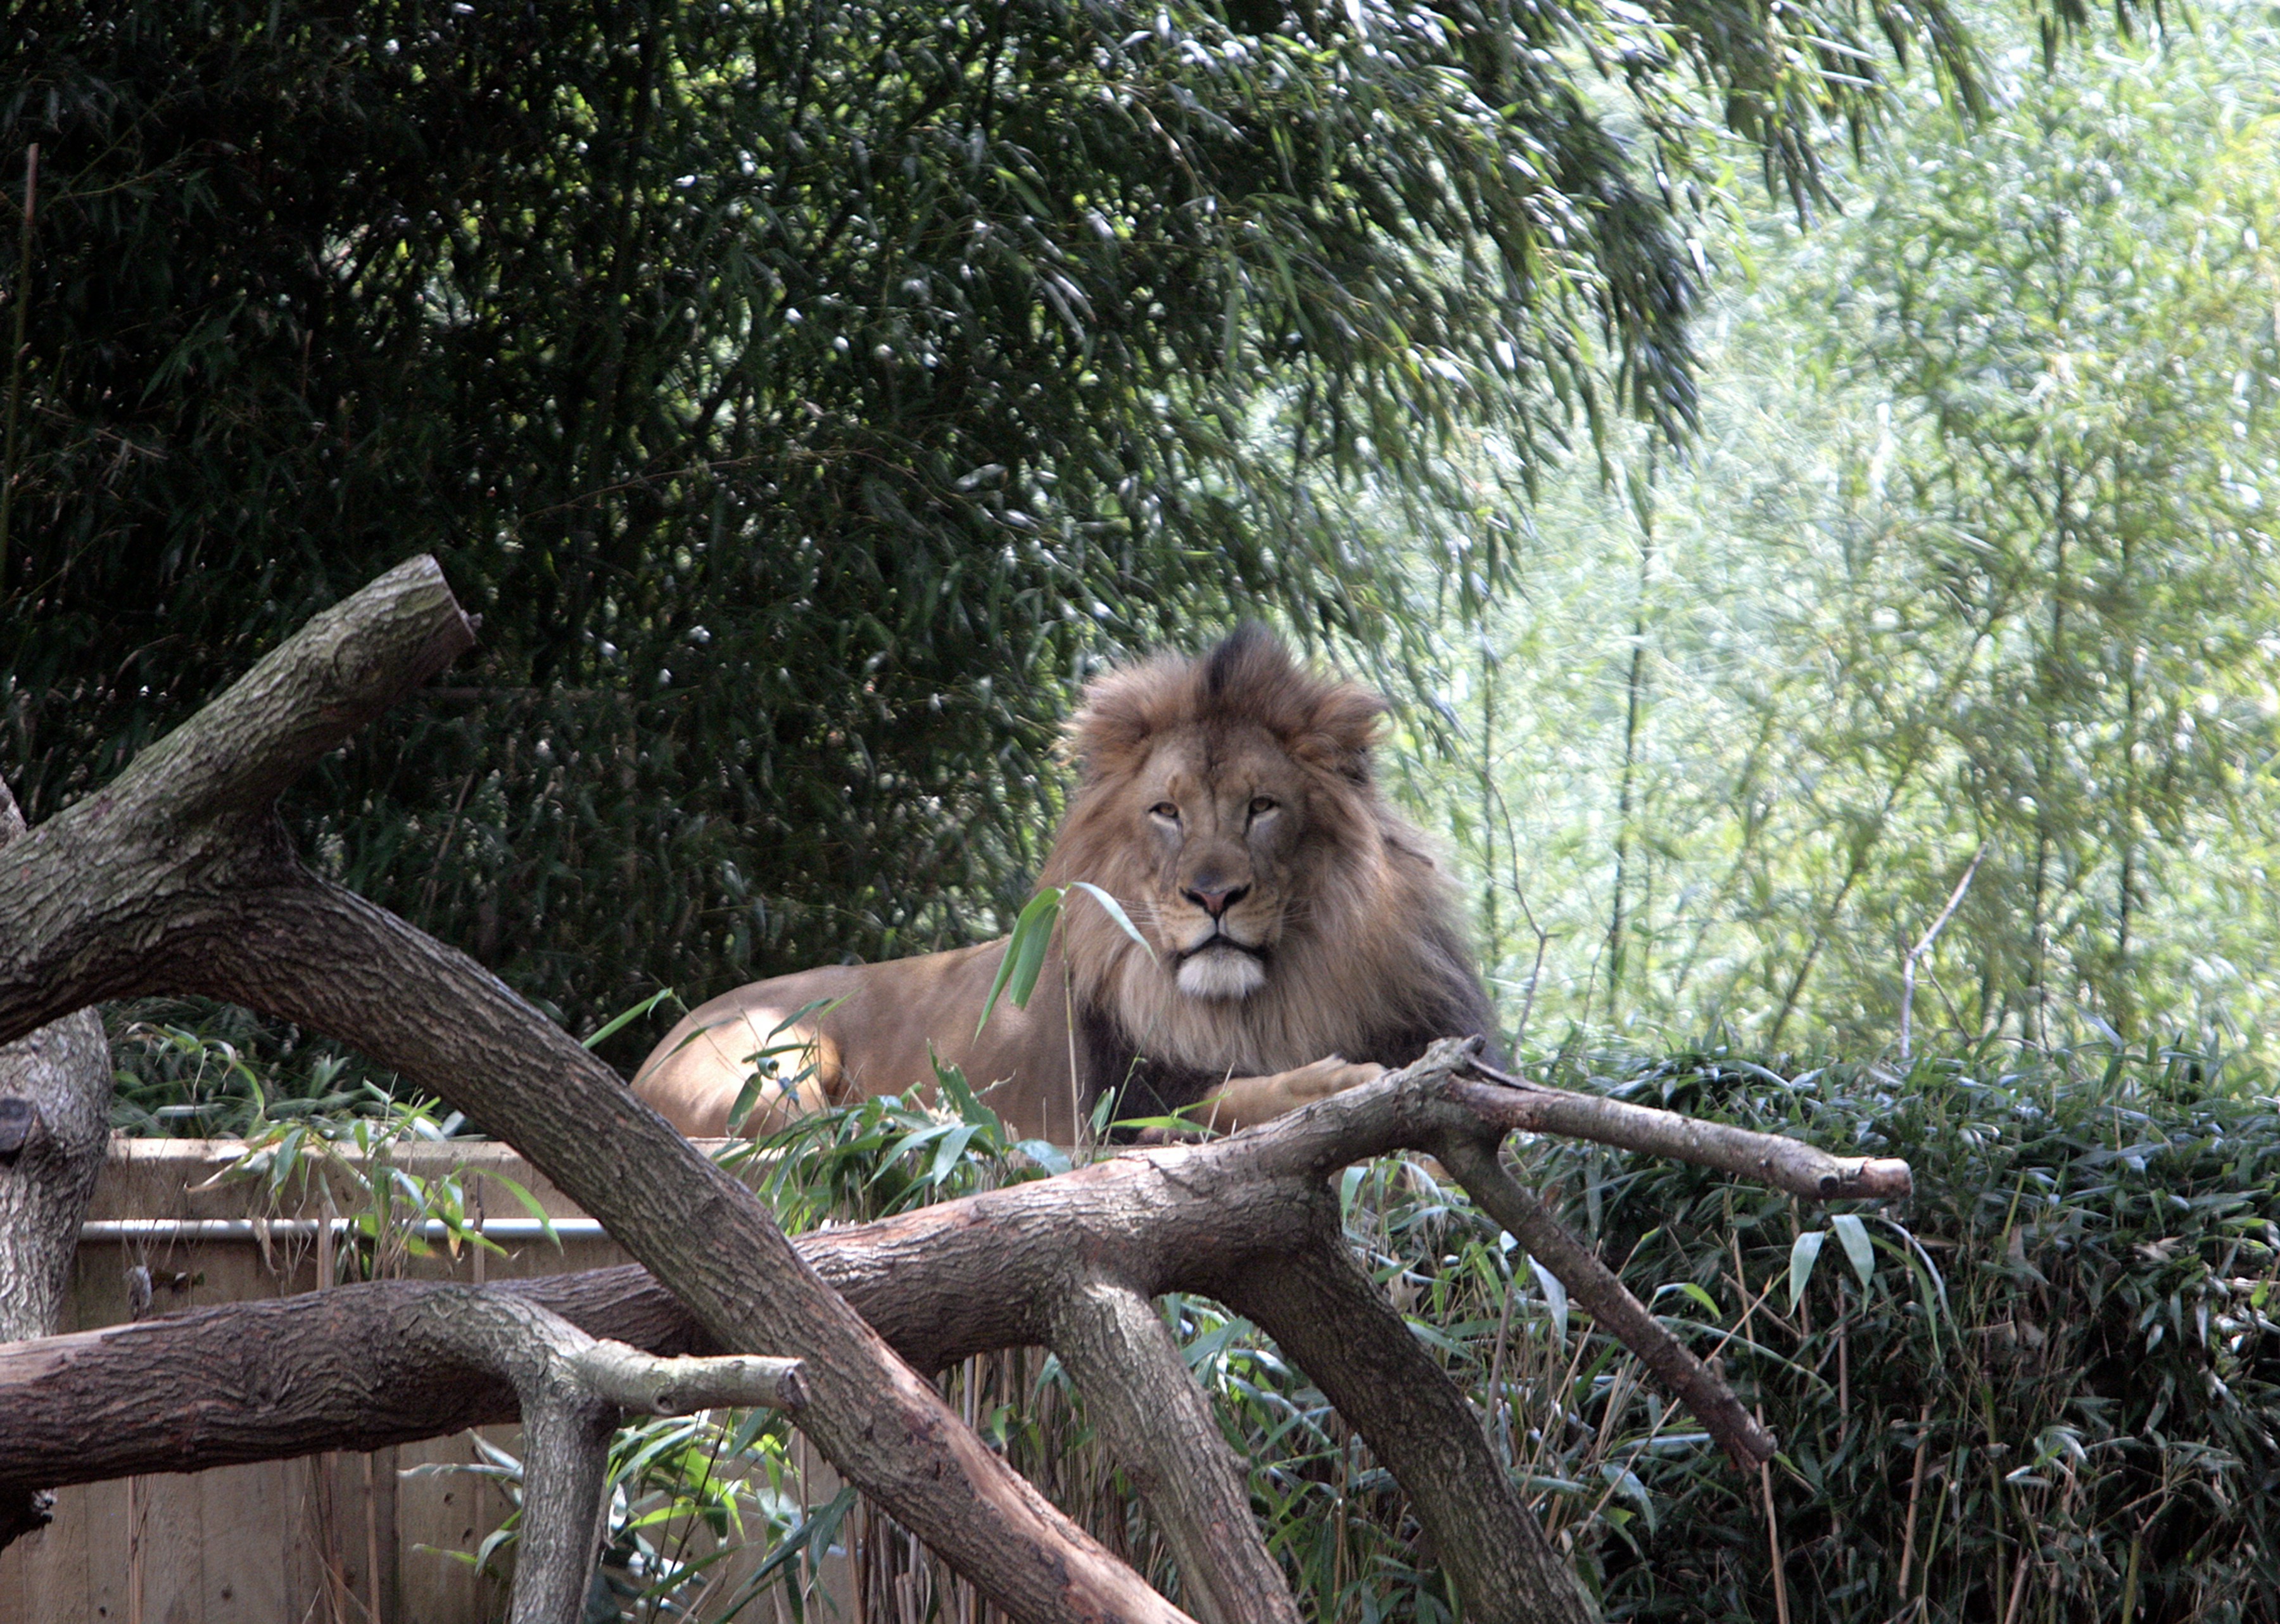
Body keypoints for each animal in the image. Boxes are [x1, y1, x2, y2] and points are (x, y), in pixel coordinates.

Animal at [631, 624, 1497, 1143]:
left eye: (1262, 808)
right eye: (1166, 811)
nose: (1213, 897)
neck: (1260, 1004)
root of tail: (643, 1053)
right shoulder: (1117, 1109)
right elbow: (1219, 1098)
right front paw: (1343, 1082)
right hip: (777, 1056)